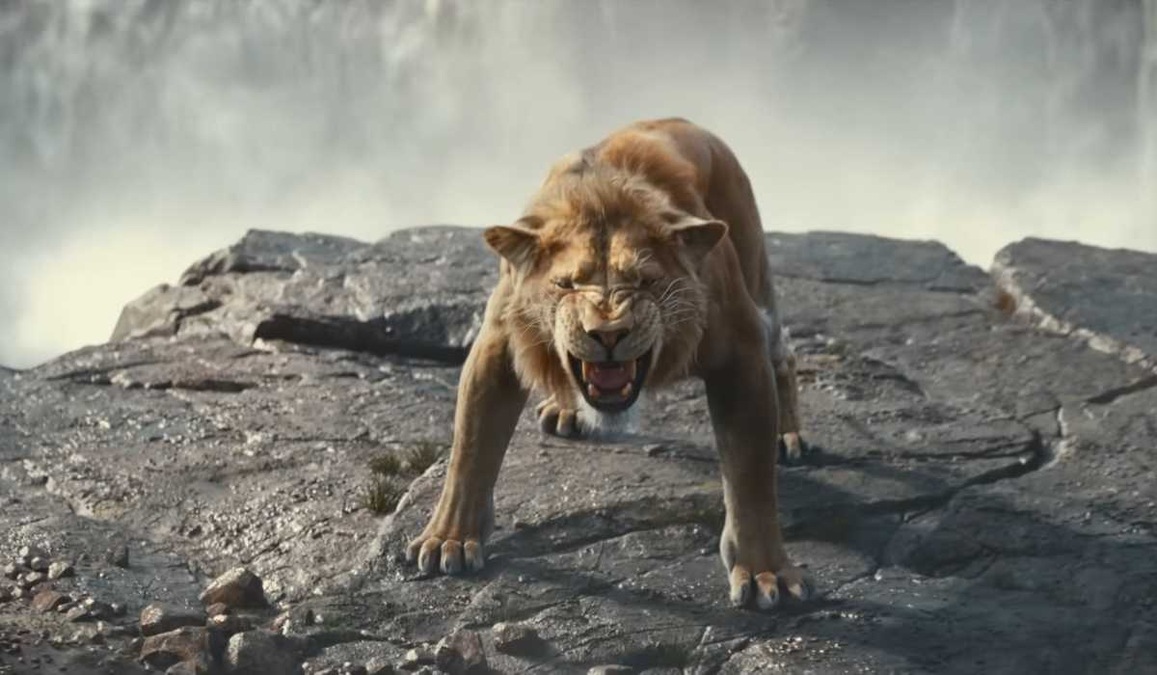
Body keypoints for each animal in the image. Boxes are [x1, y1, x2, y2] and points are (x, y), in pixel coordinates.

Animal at [405, 118, 812, 609]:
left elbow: (751, 477)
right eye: (566, 284)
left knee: (783, 352)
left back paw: (788, 437)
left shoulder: (741, 348)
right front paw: (448, 538)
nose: (608, 333)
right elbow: (470, 449)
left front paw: (765, 571)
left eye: (645, 281)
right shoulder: (499, 342)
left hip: (754, 268)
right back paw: (564, 410)